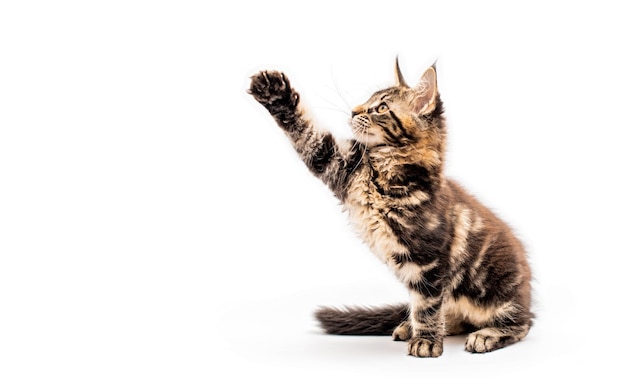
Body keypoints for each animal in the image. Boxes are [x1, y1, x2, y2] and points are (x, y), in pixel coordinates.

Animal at [246, 59, 528, 358]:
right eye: (368, 100)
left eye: (381, 107)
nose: (353, 110)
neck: (385, 171)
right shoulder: (337, 162)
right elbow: (307, 132)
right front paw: (273, 91)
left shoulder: (428, 259)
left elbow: (427, 305)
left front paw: (426, 341)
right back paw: (412, 326)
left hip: (499, 291)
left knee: (520, 323)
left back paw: (486, 334)